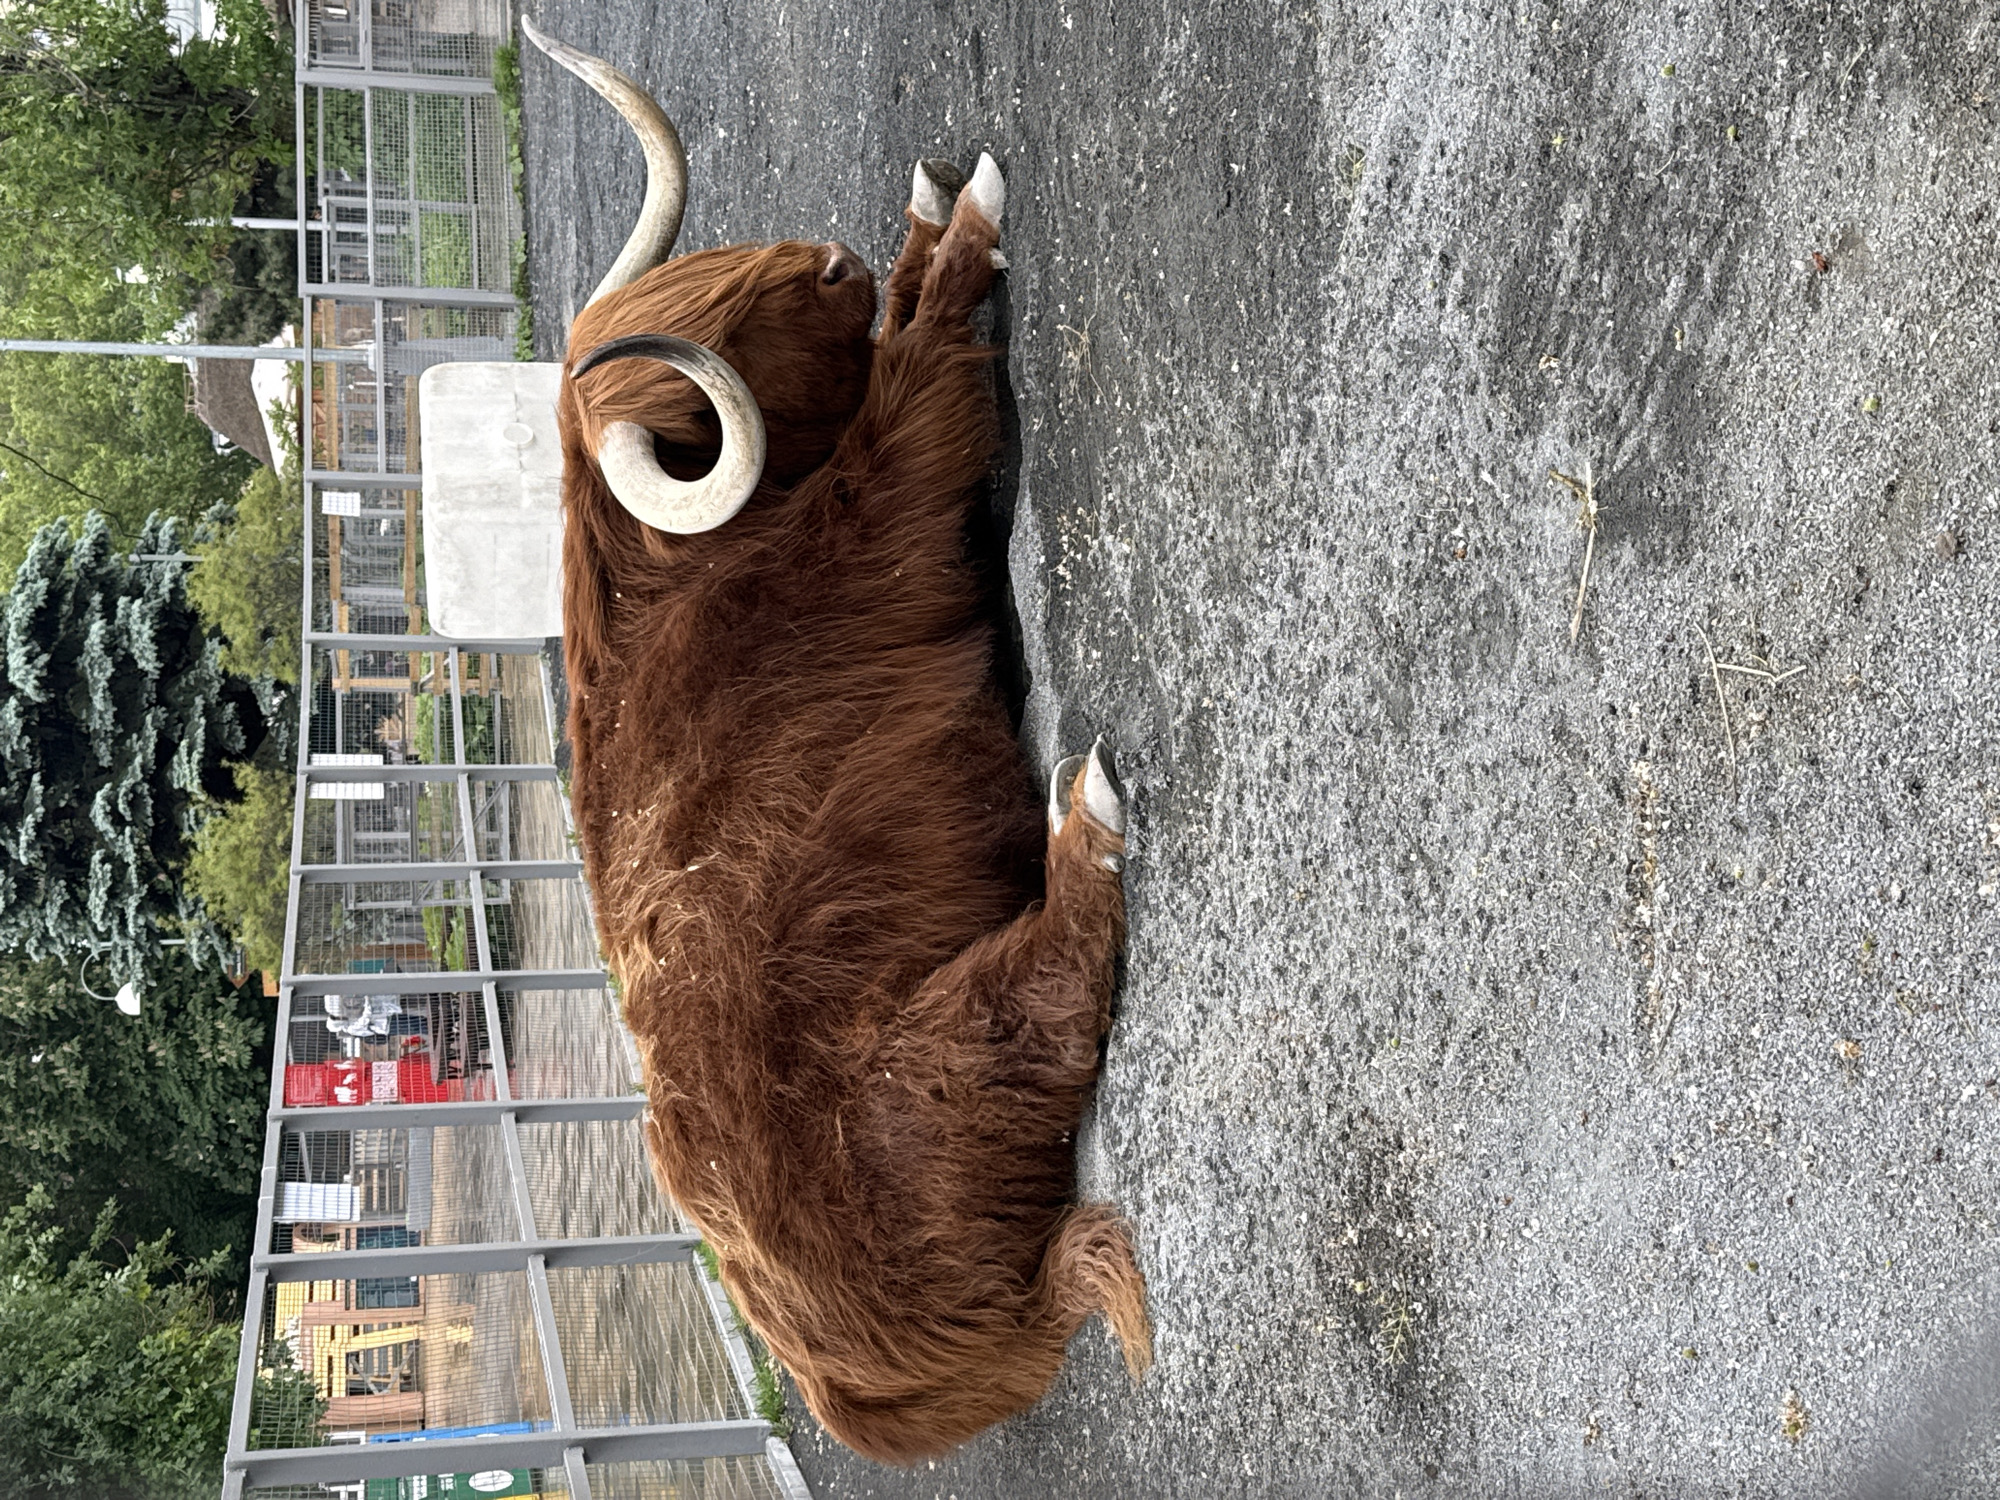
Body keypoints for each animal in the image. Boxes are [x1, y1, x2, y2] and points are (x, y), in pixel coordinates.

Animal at [521, 19, 1151, 1463]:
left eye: (714, 281)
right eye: (724, 344)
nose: (831, 259)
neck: (677, 572)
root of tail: (868, 1390)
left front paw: (922, 215)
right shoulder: (896, 485)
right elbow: (924, 370)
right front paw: (965, 222)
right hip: (941, 1053)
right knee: (1051, 991)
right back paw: (1084, 820)